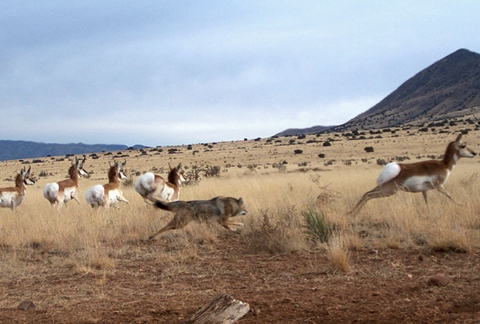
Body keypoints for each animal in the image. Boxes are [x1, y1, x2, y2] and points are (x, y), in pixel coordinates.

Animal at [348, 134, 476, 215]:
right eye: (463, 145)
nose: (474, 153)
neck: (444, 165)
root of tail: (395, 168)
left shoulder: (425, 190)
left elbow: (426, 200)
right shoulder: (439, 186)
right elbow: (449, 195)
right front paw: (461, 204)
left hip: (381, 188)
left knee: (366, 193)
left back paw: (351, 213)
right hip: (388, 191)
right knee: (369, 195)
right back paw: (353, 213)